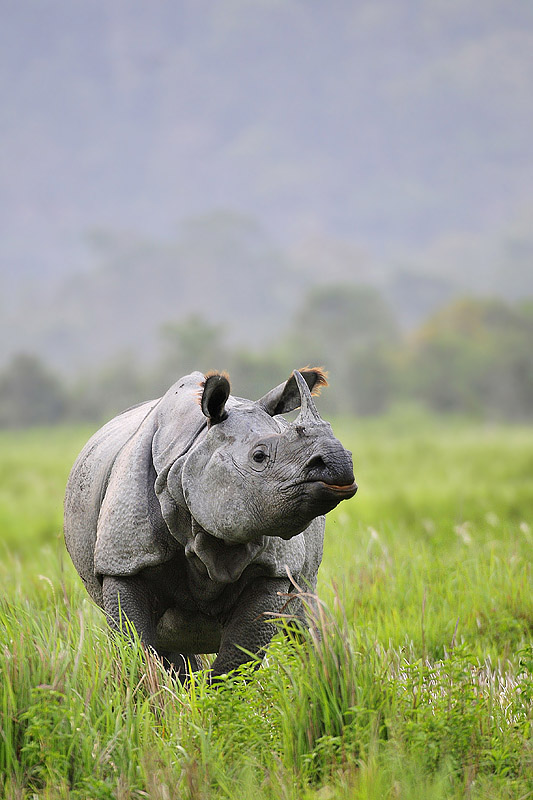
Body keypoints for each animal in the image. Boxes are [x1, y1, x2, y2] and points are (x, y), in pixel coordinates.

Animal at [64, 367, 357, 680]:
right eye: (259, 456)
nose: (339, 461)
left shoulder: (273, 568)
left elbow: (237, 661)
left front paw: (214, 692)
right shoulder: (125, 562)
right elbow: (136, 648)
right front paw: (154, 691)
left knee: (304, 615)